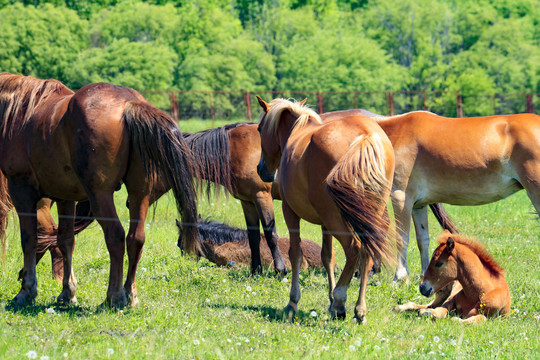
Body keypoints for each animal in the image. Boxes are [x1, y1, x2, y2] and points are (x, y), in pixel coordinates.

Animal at [0, 72, 198, 306]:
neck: (21, 114)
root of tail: (129, 103)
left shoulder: (22, 191)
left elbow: (29, 239)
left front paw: (26, 291)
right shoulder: (65, 197)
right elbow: (65, 240)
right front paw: (68, 293)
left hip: (100, 195)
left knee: (116, 236)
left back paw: (114, 296)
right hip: (139, 193)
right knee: (135, 238)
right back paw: (130, 295)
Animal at [255, 96, 394, 324]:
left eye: (259, 129)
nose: (261, 170)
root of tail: (366, 135)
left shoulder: (290, 212)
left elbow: (296, 253)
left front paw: (293, 302)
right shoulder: (324, 224)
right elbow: (327, 257)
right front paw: (328, 298)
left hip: (336, 219)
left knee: (354, 249)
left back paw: (339, 302)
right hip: (361, 215)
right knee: (365, 252)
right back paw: (359, 310)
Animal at [320, 108, 540, 282]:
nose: (358, 273)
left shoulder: (401, 198)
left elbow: (402, 237)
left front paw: (400, 277)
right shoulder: (419, 205)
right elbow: (422, 239)